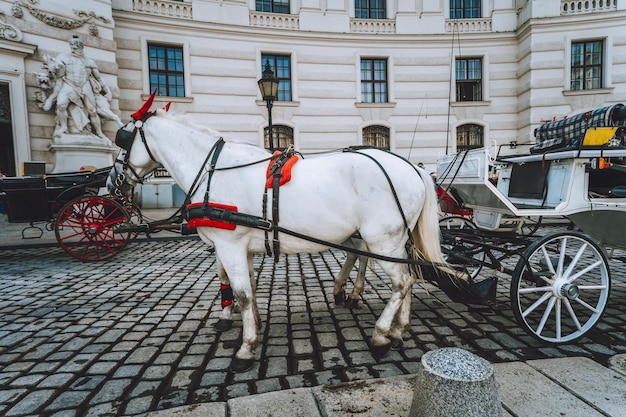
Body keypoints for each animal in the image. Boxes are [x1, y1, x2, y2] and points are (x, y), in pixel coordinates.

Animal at [108, 94, 454, 370]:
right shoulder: (240, 246)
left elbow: (243, 293)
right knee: (409, 277)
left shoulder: (229, 244)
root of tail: (413, 168)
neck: (212, 171)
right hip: (394, 242)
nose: (112, 182)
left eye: (122, 138)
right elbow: (249, 288)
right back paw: (398, 329)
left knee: (402, 282)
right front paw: (253, 326)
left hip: (383, 241)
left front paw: (245, 348)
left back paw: (381, 334)